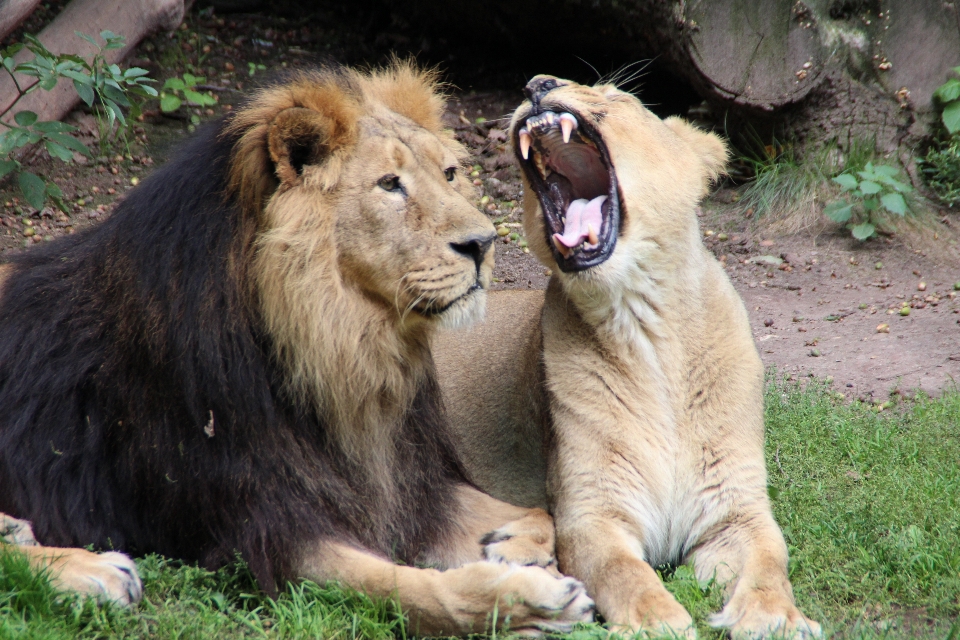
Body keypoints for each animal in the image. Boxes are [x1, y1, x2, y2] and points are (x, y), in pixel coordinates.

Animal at [0, 65, 592, 636]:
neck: (347, 347)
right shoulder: (265, 526)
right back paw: (93, 572)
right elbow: (405, 587)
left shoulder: (410, 483)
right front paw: (527, 600)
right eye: (389, 184)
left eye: (448, 174)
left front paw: (512, 548)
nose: (484, 244)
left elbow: (540, 513)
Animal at [436, 76, 816, 640]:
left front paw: (775, 617)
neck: (646, 327)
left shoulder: (735, 507)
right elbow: (624, 572)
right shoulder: (593, 511)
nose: (537, 84)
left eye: (617, 97)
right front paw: (659, 621)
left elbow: (772, 560)